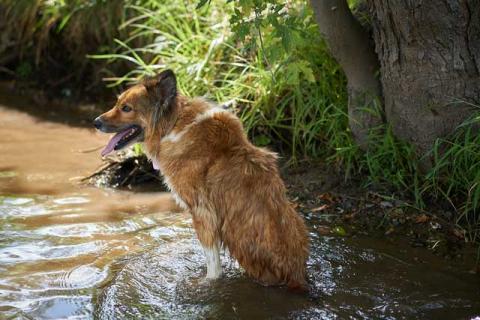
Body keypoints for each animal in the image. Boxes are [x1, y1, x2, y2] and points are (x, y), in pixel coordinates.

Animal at [94, 69, 310, 290]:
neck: (174, 124)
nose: (96, 122)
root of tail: (297, 276)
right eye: (117, 103)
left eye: (126, 108)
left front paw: (205, 283)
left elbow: (213, 265)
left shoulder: (203, 214)